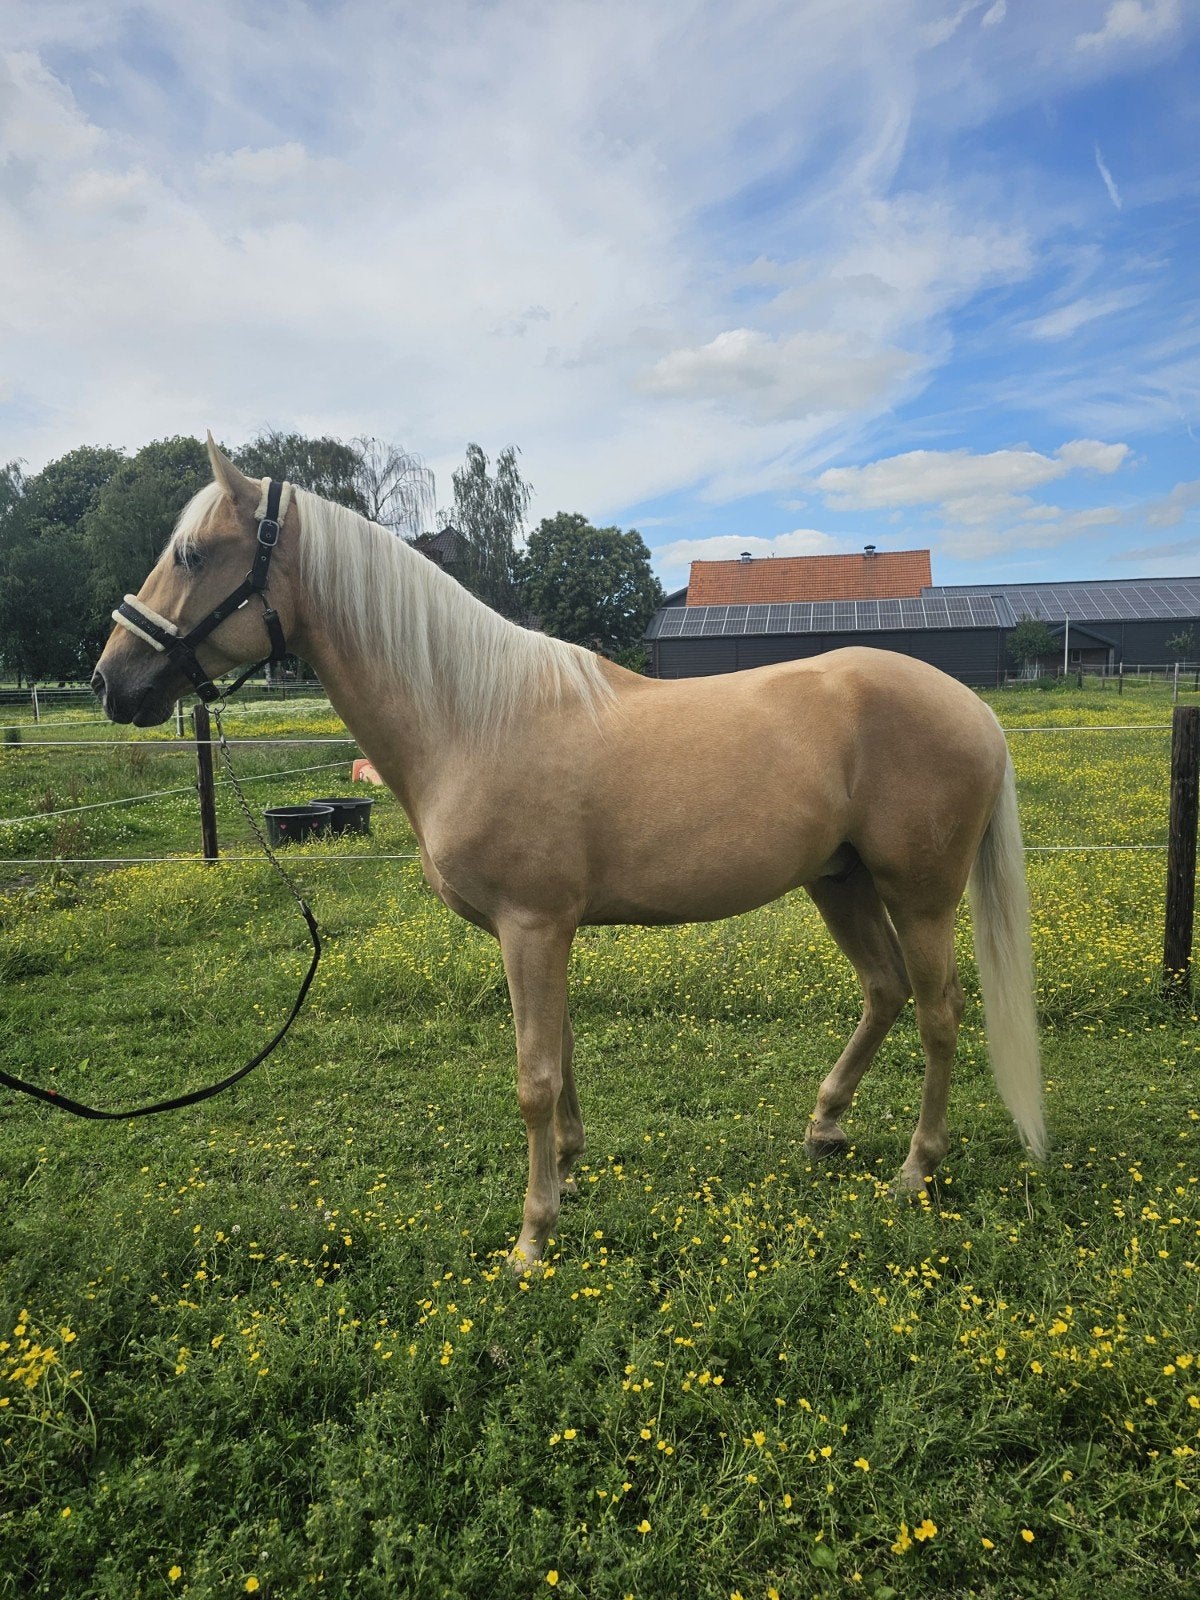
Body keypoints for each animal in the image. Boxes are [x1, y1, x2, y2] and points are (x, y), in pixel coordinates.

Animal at [92, 436, 1045, 1268]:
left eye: (192, 555)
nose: (109, 680)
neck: (473, 717)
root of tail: (970, 706)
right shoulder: (541, 934)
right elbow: (563, 1054)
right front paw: (572, 1173)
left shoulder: (532, 926)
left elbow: (534, 1078)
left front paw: (532, 1236)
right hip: (838, 883)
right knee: (883, 991)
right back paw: (825, 1126)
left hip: (919, 894)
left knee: (938, 1013)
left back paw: (914, 1169)